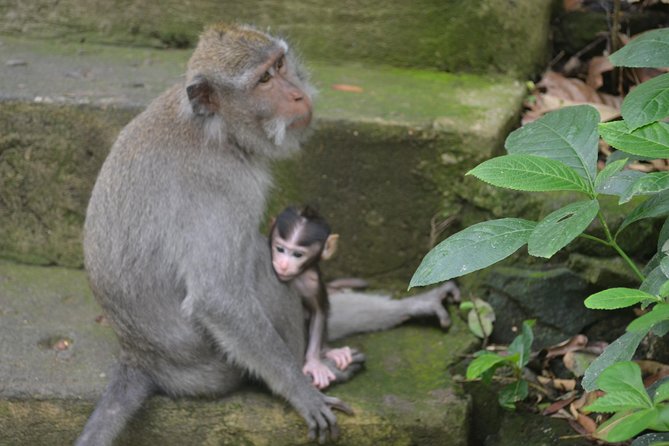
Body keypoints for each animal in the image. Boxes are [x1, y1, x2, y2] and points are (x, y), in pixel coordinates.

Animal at [269, 206, 354, 390]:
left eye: (297, 255)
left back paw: (328, 351)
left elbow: (318, 312)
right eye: (280, 249)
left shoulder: (311, 281)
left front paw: (314, 363)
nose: (283, 265)